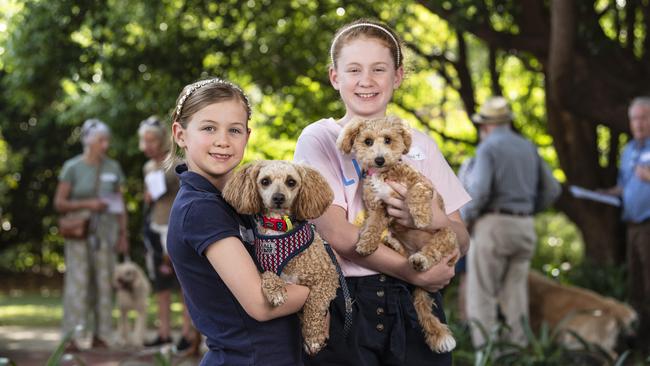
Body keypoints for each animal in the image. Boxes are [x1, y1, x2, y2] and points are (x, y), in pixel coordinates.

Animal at [223, 160, 340, 354]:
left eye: (291, 182)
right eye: (265, 181)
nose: (278, 197)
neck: (279, 226)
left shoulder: (327, 277)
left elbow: (314, 303)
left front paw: (313, 337)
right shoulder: (259, 269)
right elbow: (268, 274)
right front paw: (276, 290)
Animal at [336, 116, 458, 354]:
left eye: (388, 139)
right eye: (368, 141)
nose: (379, 159)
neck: (383, 175)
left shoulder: (421, 184)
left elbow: (417, 192)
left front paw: (421, 216)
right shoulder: (378, 207)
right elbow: (373, 225)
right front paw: (366, 243)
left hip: (447, 234)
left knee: (432, 252)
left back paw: (421, 260)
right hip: (404, 248)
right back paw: (390, 243)